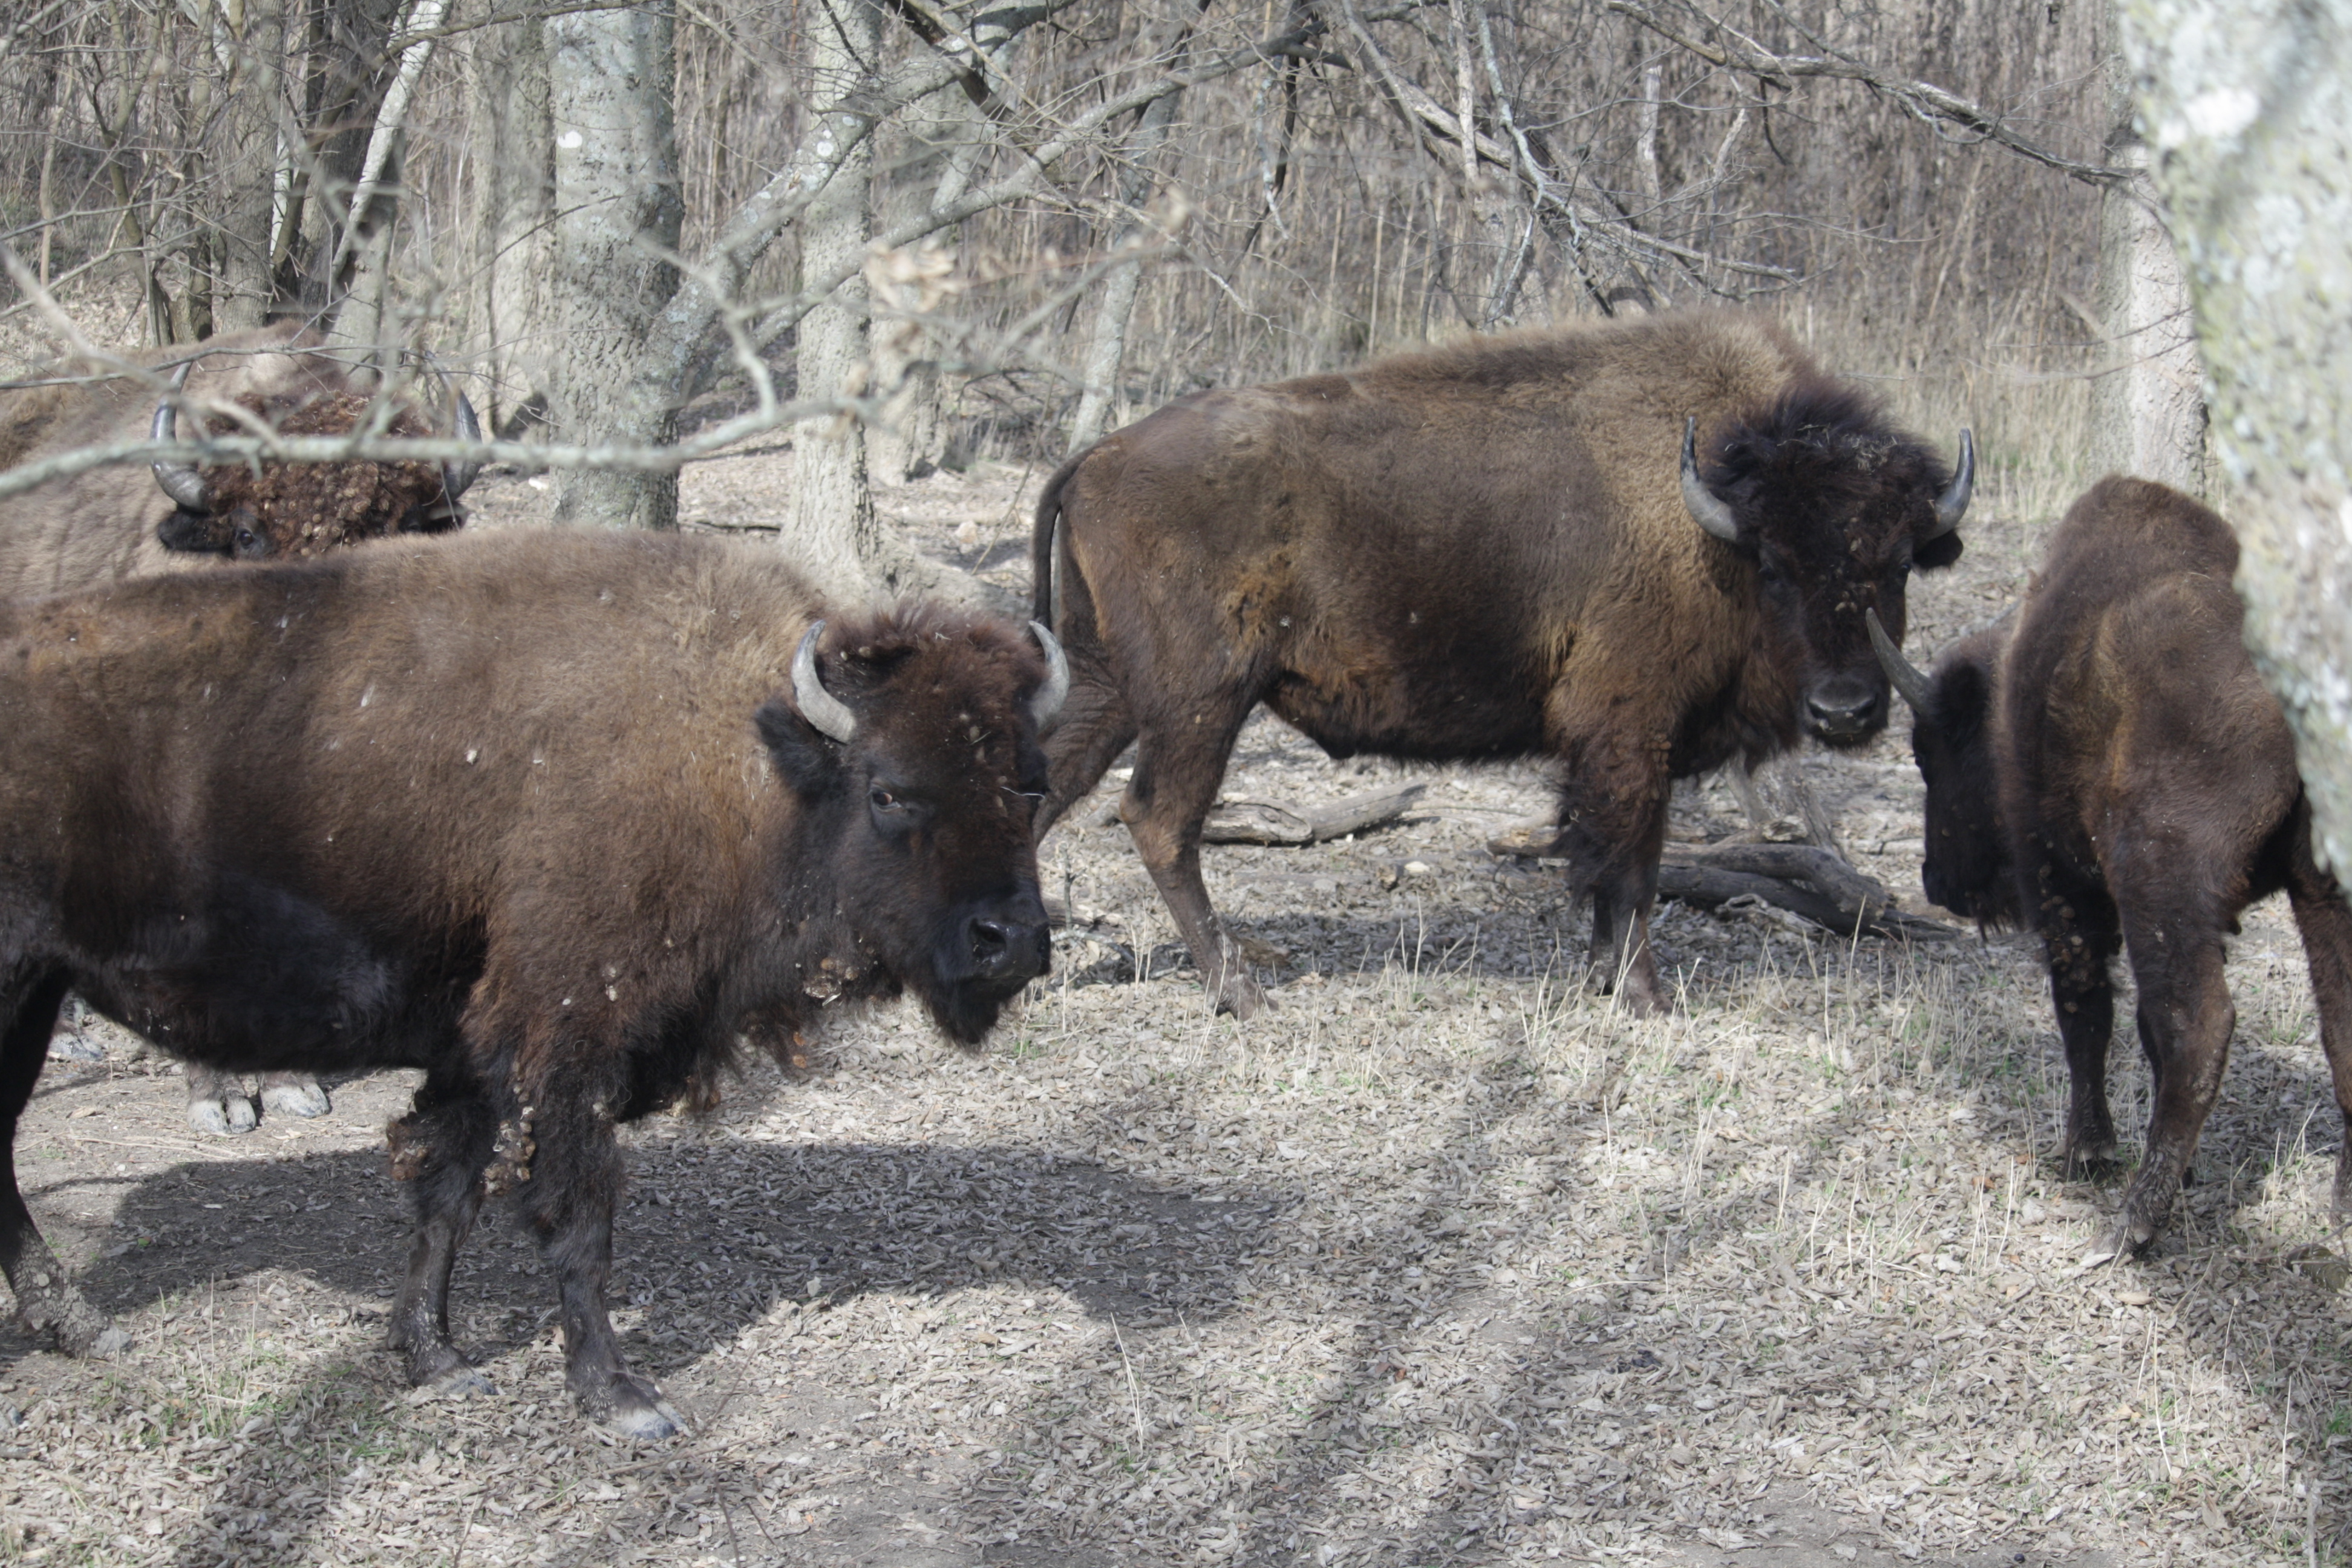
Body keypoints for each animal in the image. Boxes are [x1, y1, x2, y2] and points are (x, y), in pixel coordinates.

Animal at [0, 530, 1064, 1435]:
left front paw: (435, 1360)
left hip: (35, 996)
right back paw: (79, 1328)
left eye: (1030, 784)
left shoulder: (476, 1047)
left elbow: (446, 1195)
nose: (1010, 940)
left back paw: (82, 1332)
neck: (748, 756)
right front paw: (623, 1397)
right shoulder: (569, 1034)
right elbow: (576, 1216)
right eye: (887, 790)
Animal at [1031, 312, 1971, 1016]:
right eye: (1775, 565)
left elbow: (1604, 856)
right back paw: (1241, 994)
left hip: (1107, 686)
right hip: (1203, 699)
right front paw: (1644, 997)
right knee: (1160, 821)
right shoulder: (1630, 727)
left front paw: (1604, 979)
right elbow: (1630, 861)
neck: (1712, 513)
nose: (1845, 710)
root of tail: (1098, 456)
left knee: (1044, 791)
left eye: (1898, 563)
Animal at [1870, 475, 2352, 1256]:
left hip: (2158, 879)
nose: (1936, 881)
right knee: (2339, 1027)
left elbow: (2087, 1012)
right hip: (2321, 891)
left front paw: (2087, 1152)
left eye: (1927, 752)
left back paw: (2132, 1224)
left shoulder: (2063, 888)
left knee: (2200, 1025)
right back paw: (2340, 1210)